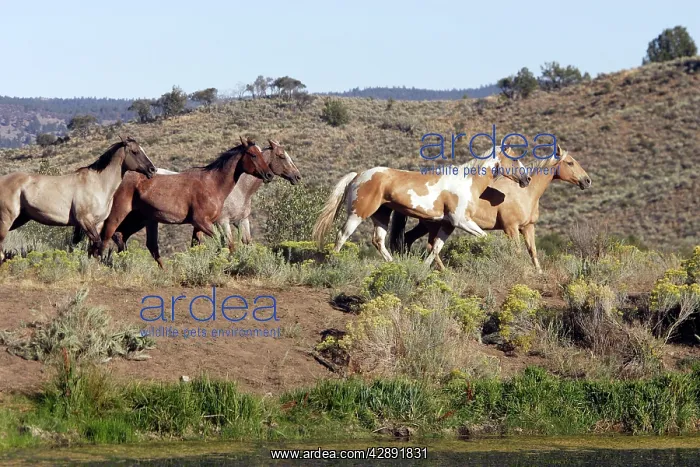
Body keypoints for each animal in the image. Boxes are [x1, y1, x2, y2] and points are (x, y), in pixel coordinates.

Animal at [0, 136, 156, 262]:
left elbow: (93, 249)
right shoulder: (85, 221)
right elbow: (96, 245)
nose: (152, 170)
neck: (98, 184)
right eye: (135, 152)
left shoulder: (97, 224)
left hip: (20, 218)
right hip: (7, 218)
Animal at [97, 137, 274, 267]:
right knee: (106, 237)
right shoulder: (203, 222)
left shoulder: (200, 225)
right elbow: (223, 243)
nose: (269, 175)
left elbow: (204, 244)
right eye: (253, 155)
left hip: (144, 220)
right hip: (120, 215)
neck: (212, 183)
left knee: (135, 241)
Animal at [312, 146, 531, 266]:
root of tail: (358, 175)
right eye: (514, 159)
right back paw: (333, 261)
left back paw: (394, 264)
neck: (467, 182)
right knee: (342, 235)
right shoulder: (461, 221)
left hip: (382, 215)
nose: (527, 179)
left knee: (378, 241)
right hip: (358, 213)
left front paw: (425, 270)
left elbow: (435, 249)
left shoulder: (448, 225)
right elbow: (484, 237)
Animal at [388, 144, 592, 272]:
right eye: (570, 162)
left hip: (426, 225)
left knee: (410, 239)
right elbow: (517, 252)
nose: (587, 180)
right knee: (430, 246)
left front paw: (539, 273)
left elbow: (532, 252)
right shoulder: (511, 228)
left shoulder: (528, 227)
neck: (525, 193)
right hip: (433, 225)